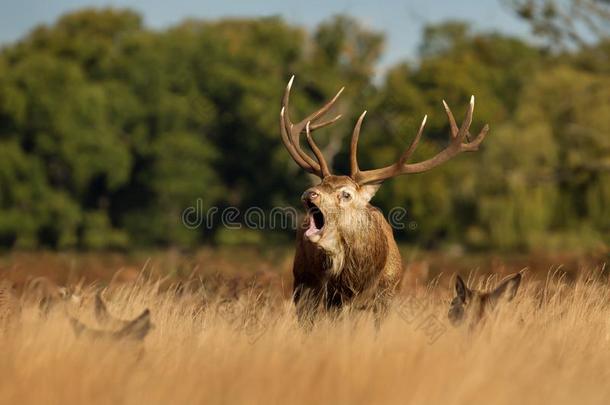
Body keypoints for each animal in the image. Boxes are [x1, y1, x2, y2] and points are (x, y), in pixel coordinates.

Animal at [280, 74, 490, 324]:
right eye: (322, 184)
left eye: (346, 194)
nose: (309, 193)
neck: (356, 281)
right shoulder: (325, 297)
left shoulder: (386, 295)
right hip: (302, 286)